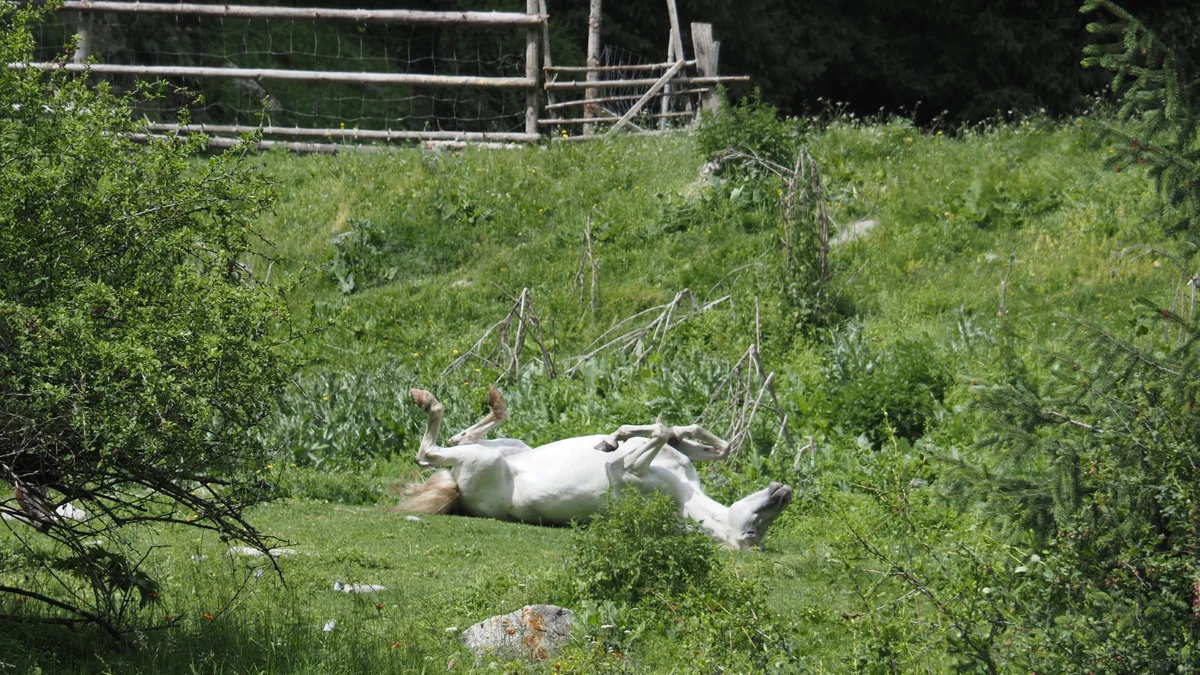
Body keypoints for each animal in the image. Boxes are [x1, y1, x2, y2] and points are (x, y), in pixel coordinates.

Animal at [398, 386, 793, 550]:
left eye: (752, 534)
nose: (784, 493)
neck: (683, 494)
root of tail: (458, 491)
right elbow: (711, 444)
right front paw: (620, 436)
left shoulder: (629, 471)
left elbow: (656, 434)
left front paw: (615, 439)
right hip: (512, 446)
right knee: (457, 439)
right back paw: (494, 403)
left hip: (484, 460)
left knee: (429, 451)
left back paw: (427, 400)